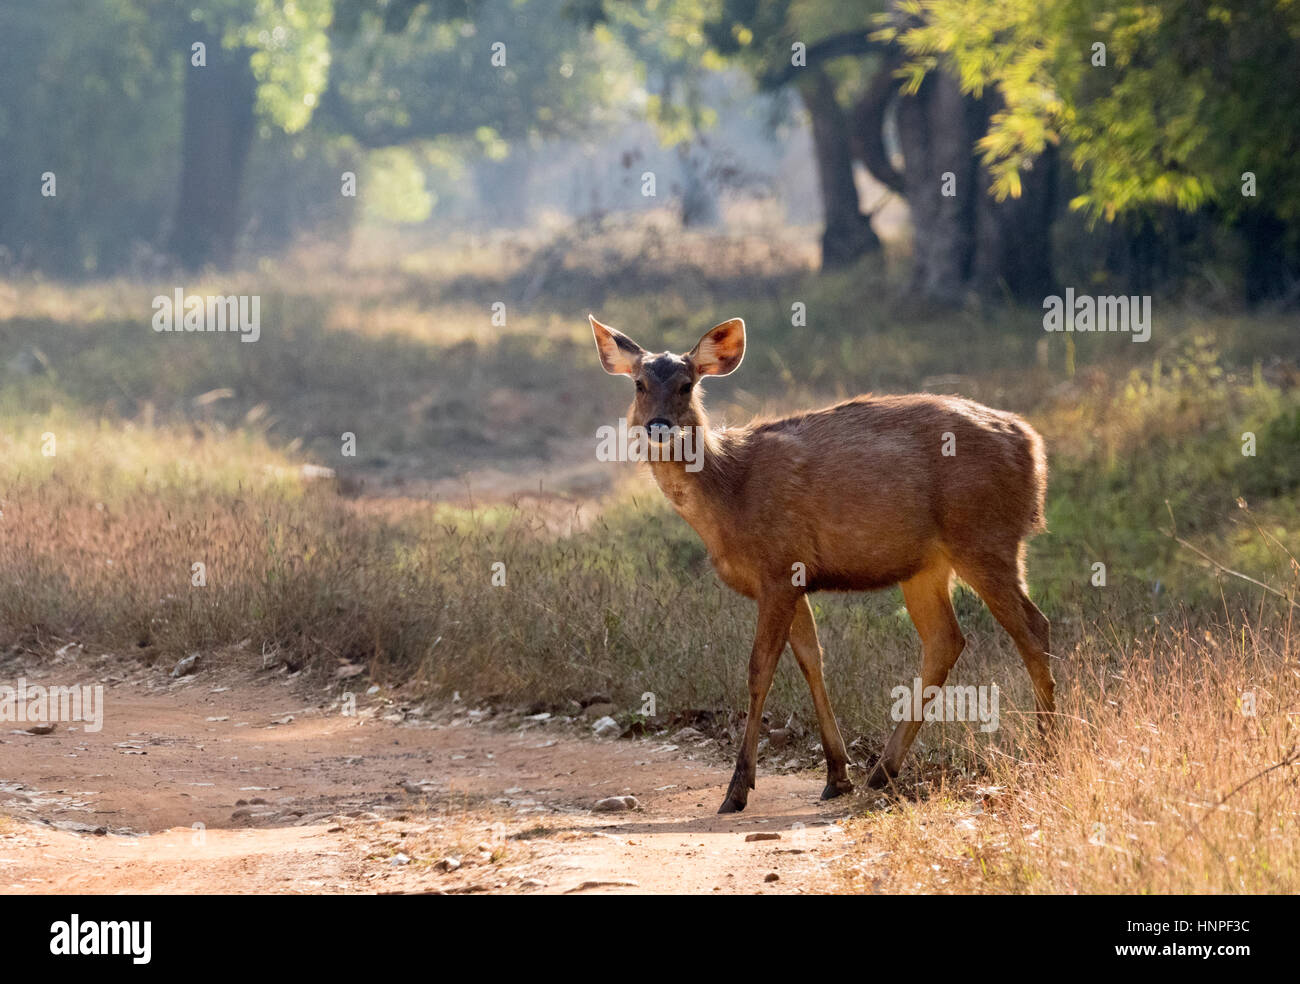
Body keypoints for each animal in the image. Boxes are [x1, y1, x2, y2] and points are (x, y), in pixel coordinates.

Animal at [590, 314, 1055, 816]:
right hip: (926, 565)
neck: (729, 494)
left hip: (985, 538)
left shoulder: (778, 568)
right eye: (639, 383)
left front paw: (737, 789)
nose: (658, 427)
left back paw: (1047, 749)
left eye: (686, 384)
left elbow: (759, 670)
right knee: (946, 640)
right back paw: (882, 770)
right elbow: (812, 659)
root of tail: (1034, 447)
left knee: (1033, 627)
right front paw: (837, 775)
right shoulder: (792, 577)